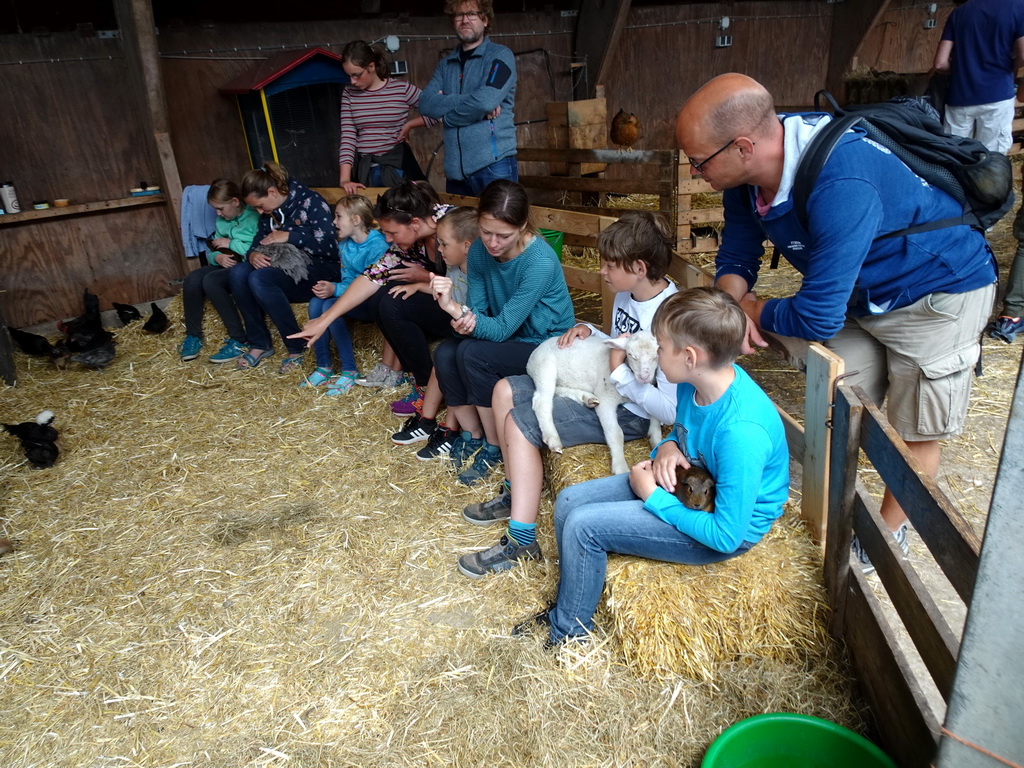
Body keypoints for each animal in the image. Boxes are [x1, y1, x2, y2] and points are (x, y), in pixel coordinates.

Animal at [528, 331, 663, 475]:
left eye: (656, 356)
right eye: (630, 354)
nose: (644, 377)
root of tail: (532, 356)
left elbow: (656, 414)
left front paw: (656, 440)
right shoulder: (605, 398)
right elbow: (616, 433)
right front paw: (620, 467)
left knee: (557, 390)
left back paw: (586, 398)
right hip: (545, 368)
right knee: (541, 401)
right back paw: (553, 438)